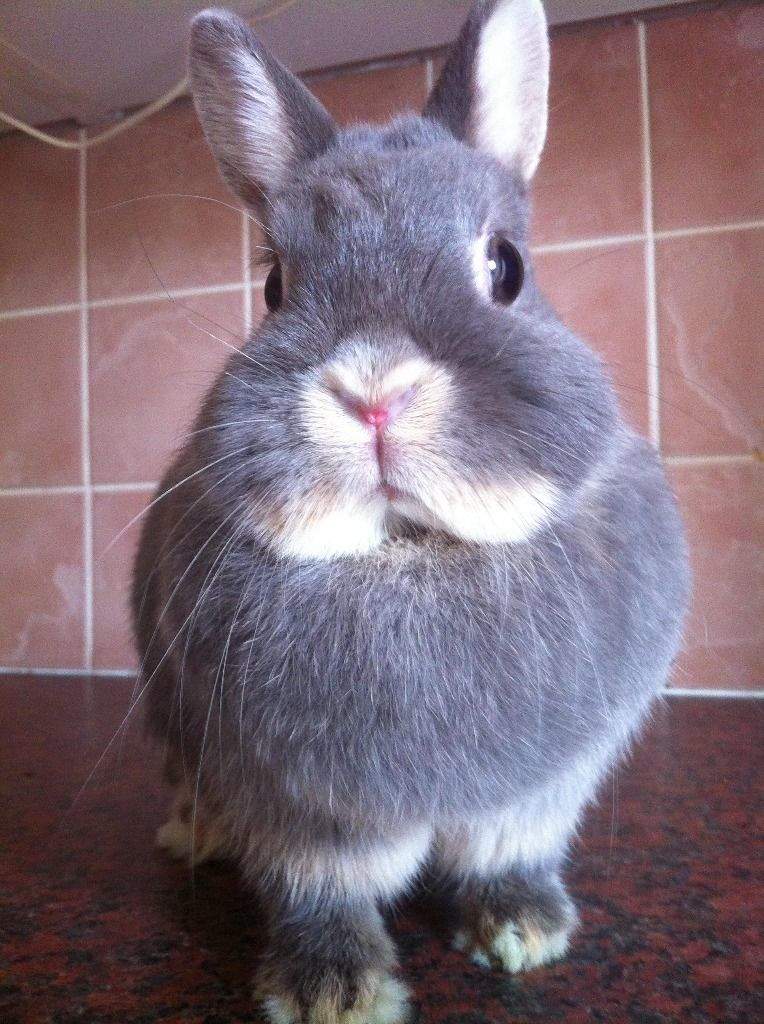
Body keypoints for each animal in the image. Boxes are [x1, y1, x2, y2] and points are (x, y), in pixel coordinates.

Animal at [131, 1, 689, 1021]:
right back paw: (195, 836)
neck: (411, 556)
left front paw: (525, 932)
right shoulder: (296, 812)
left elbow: (512, 857)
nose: (375, 390)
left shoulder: (537, 798)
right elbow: (322, 892)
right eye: (274, 286)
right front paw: (333, 990)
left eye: (506, 267)